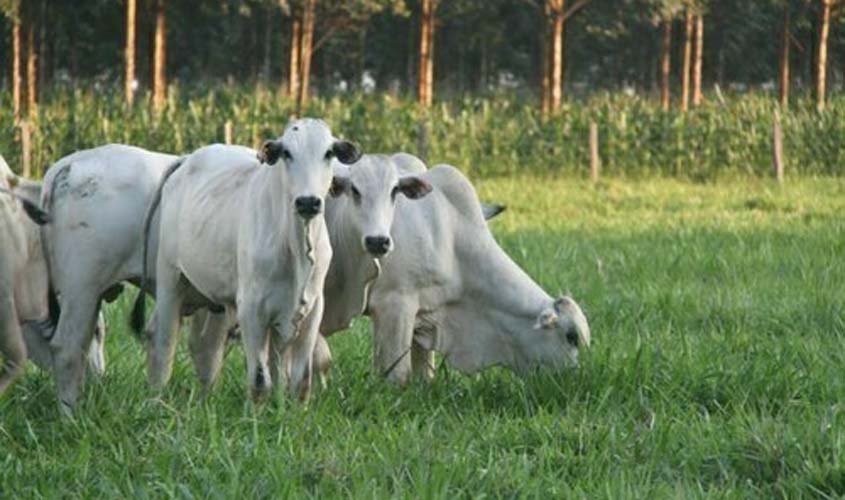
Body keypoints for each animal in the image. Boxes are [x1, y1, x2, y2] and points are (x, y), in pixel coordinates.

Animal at [135, 119, 362, 400]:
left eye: (328, 153)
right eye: (287, 153)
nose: (308, 202)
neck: (297, 247)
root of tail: (188, 158)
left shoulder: (311, 311)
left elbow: (298, 381)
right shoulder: (251, 310)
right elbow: (260, 380)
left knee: (207, 347)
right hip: (171, 278)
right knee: (163, 341)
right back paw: (156, 396)